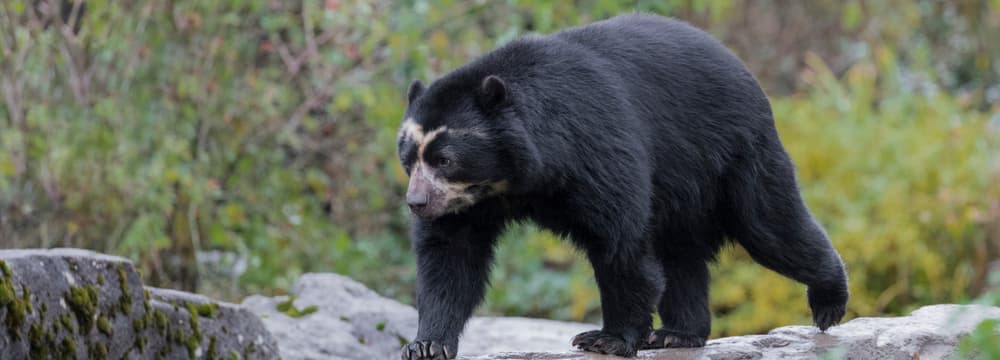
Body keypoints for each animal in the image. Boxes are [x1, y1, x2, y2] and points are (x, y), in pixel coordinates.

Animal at [394, 12, 848, 358]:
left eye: (445, 160)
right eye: (408, 158)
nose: (416, 203)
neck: (510, 178)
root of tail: (741, 66)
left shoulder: (594, 146)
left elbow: (620, 243)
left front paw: (607, 339)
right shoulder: (466, 204)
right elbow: (450, 256)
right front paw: (427, 344)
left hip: (735, 153)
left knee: (770, 227)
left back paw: (828, 302)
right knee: (681, 255)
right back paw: (679, 333)